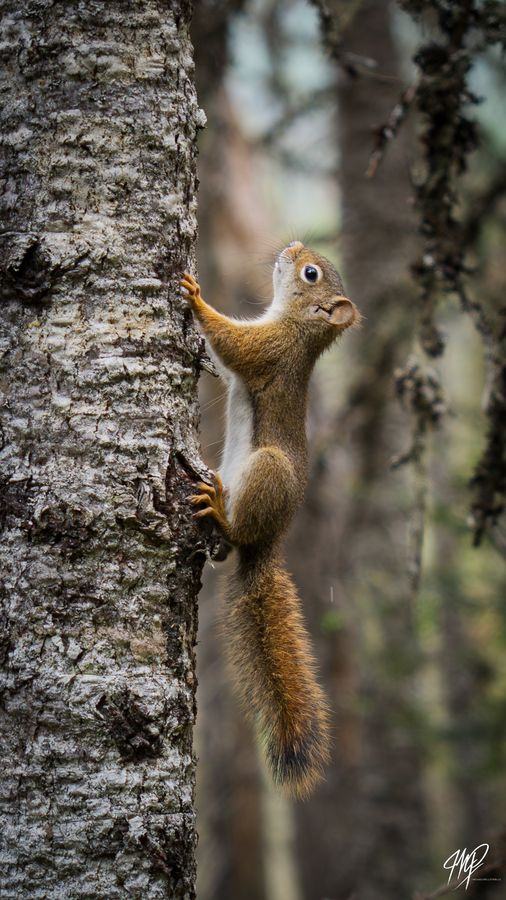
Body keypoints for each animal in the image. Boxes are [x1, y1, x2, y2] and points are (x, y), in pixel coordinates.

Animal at [181, 241, 360, 798]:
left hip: (268, 470)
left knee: (238, 532)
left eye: (311, 273)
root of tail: (270, 540)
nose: (293, 246)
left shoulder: (271, 350)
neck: (295, 325)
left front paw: (196, 298)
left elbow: (235, 345)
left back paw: (221, 512)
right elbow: (224, 362)